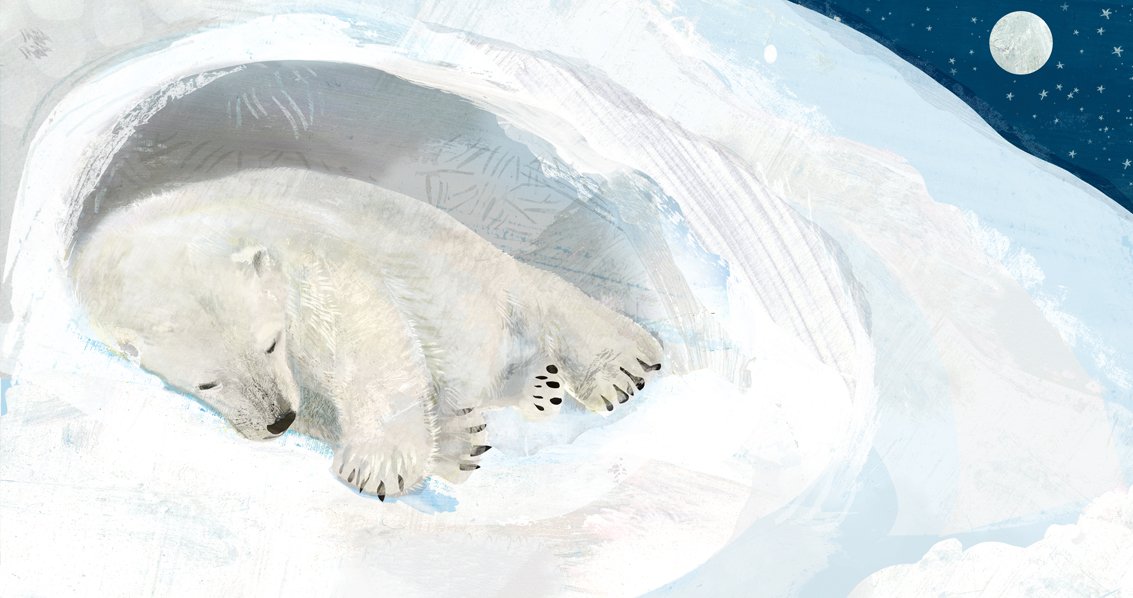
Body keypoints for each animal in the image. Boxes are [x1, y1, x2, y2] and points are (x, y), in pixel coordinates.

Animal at [70, 167, 663, 499]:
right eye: (207, 383)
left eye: (270, 341)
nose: (278, 421)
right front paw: (451, 445)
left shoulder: (306, 259)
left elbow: (359, 335)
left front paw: (379, 466)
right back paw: (530, 391)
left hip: (461, 263)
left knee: (532, 292)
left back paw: (618, 367)